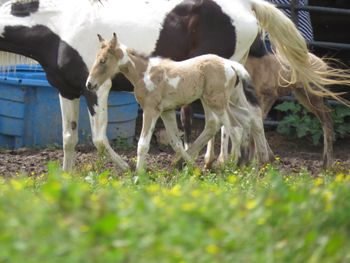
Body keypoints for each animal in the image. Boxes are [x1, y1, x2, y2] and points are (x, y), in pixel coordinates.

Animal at [86, 33, 266, 173]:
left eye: (103, 61)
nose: (89, 84)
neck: (144, 73)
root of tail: (230, 64)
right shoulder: (167, 111)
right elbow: (176, 143)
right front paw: (191, 166)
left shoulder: (151, 110)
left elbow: (143, 144)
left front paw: (139, 175)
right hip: (216, 101)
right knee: (245, 117)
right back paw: (246, 162)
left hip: (217, 103)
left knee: (235, 129)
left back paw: (231, 167)